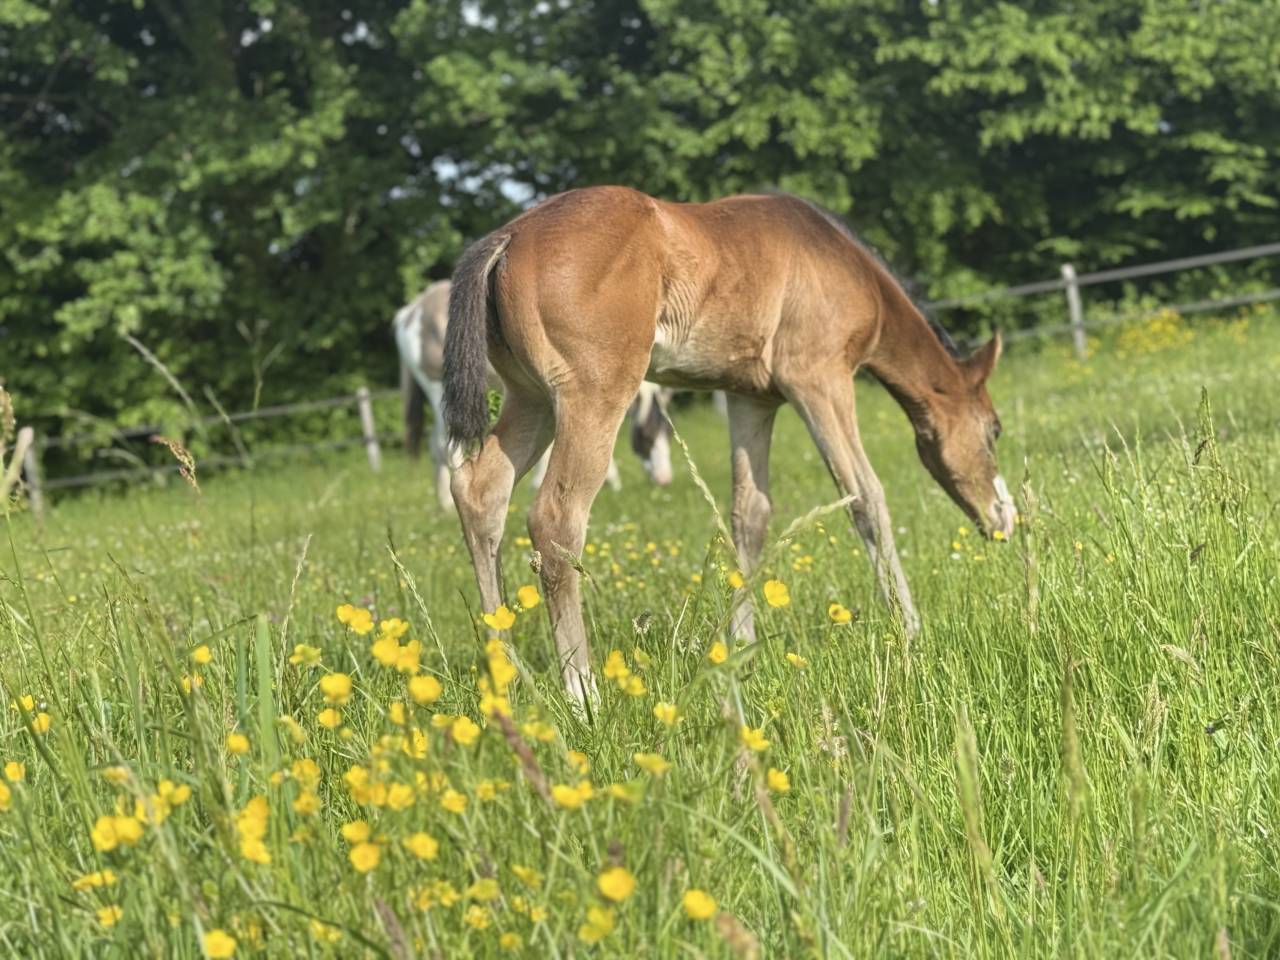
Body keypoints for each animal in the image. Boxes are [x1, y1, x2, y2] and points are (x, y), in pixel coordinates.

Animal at [394, 279, 673, 510]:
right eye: (647, 436)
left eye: (668, 434)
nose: (664, 480)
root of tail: (412, 311)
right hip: (439, 390)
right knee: (446, 445)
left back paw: (443, 504)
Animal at [443, 187, 1016, 705]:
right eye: (994, 429)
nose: (1005, 519)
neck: (837, 259)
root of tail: (508, 237)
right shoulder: (820, 379)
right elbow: (865, 497)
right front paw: (909, 626)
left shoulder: (751, 400)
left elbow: (749, 514)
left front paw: (741, 645)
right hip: (593, 396)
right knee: (555, 521)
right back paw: (583, 694)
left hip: (532, 398)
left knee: (480, 492)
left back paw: (505, 672)